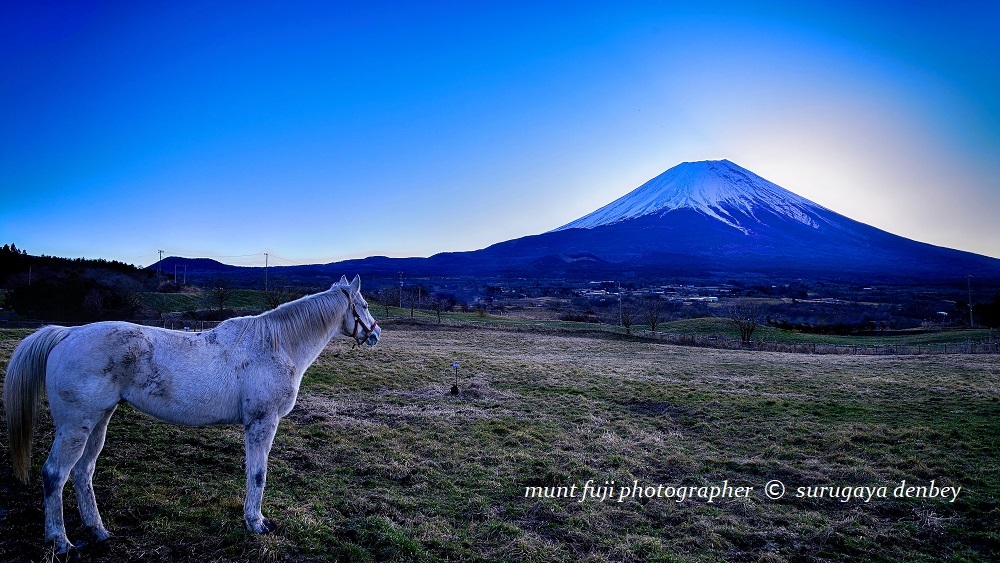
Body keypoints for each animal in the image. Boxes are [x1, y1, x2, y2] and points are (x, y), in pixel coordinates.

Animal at [3, 274, 380, 553]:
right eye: (362, 305)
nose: (375, 332)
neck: (274, 345)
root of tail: (68, 333)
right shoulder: (262, 422)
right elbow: (258, 475)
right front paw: (257, 523)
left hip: (99, 420)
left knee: (83, 472)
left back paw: (98, 530)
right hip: (76, 425)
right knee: (55, 475)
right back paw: (61, 542)